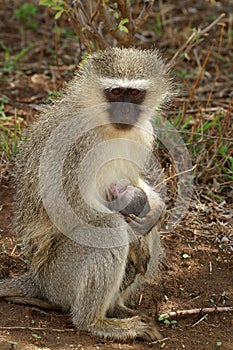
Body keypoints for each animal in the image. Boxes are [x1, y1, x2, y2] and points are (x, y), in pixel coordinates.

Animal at [0, 47, 171, 340]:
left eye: (134, 93)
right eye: (115, 92)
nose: (125, 110)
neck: (104, 124)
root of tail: (36, 279)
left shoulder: (142, 134)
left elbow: (134, 185)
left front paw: (156, 210)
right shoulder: (74, 142)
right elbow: (63, 205)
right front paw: (132, 235)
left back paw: (116, 309)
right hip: (59, 277)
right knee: (107, 227)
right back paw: (95, 322)